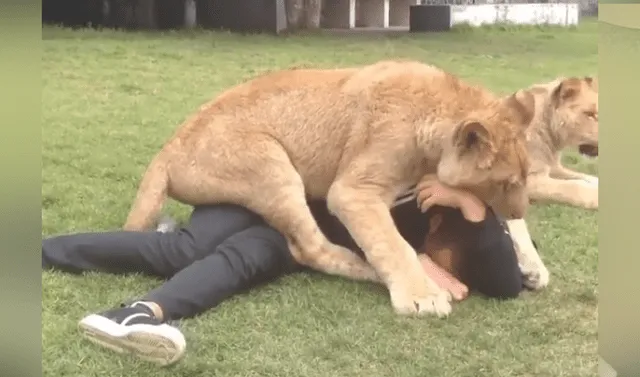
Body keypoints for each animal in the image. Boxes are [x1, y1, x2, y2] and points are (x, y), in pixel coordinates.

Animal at [121, 60, 536, 316]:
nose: (521, 208)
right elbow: (392, 244)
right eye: (507, 182)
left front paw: (532, 265)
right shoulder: (353, 191)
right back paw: (391, 272)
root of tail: (167, 148)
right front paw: (421, 297)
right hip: (272, 165)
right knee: (310, 248)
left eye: (525, 177)